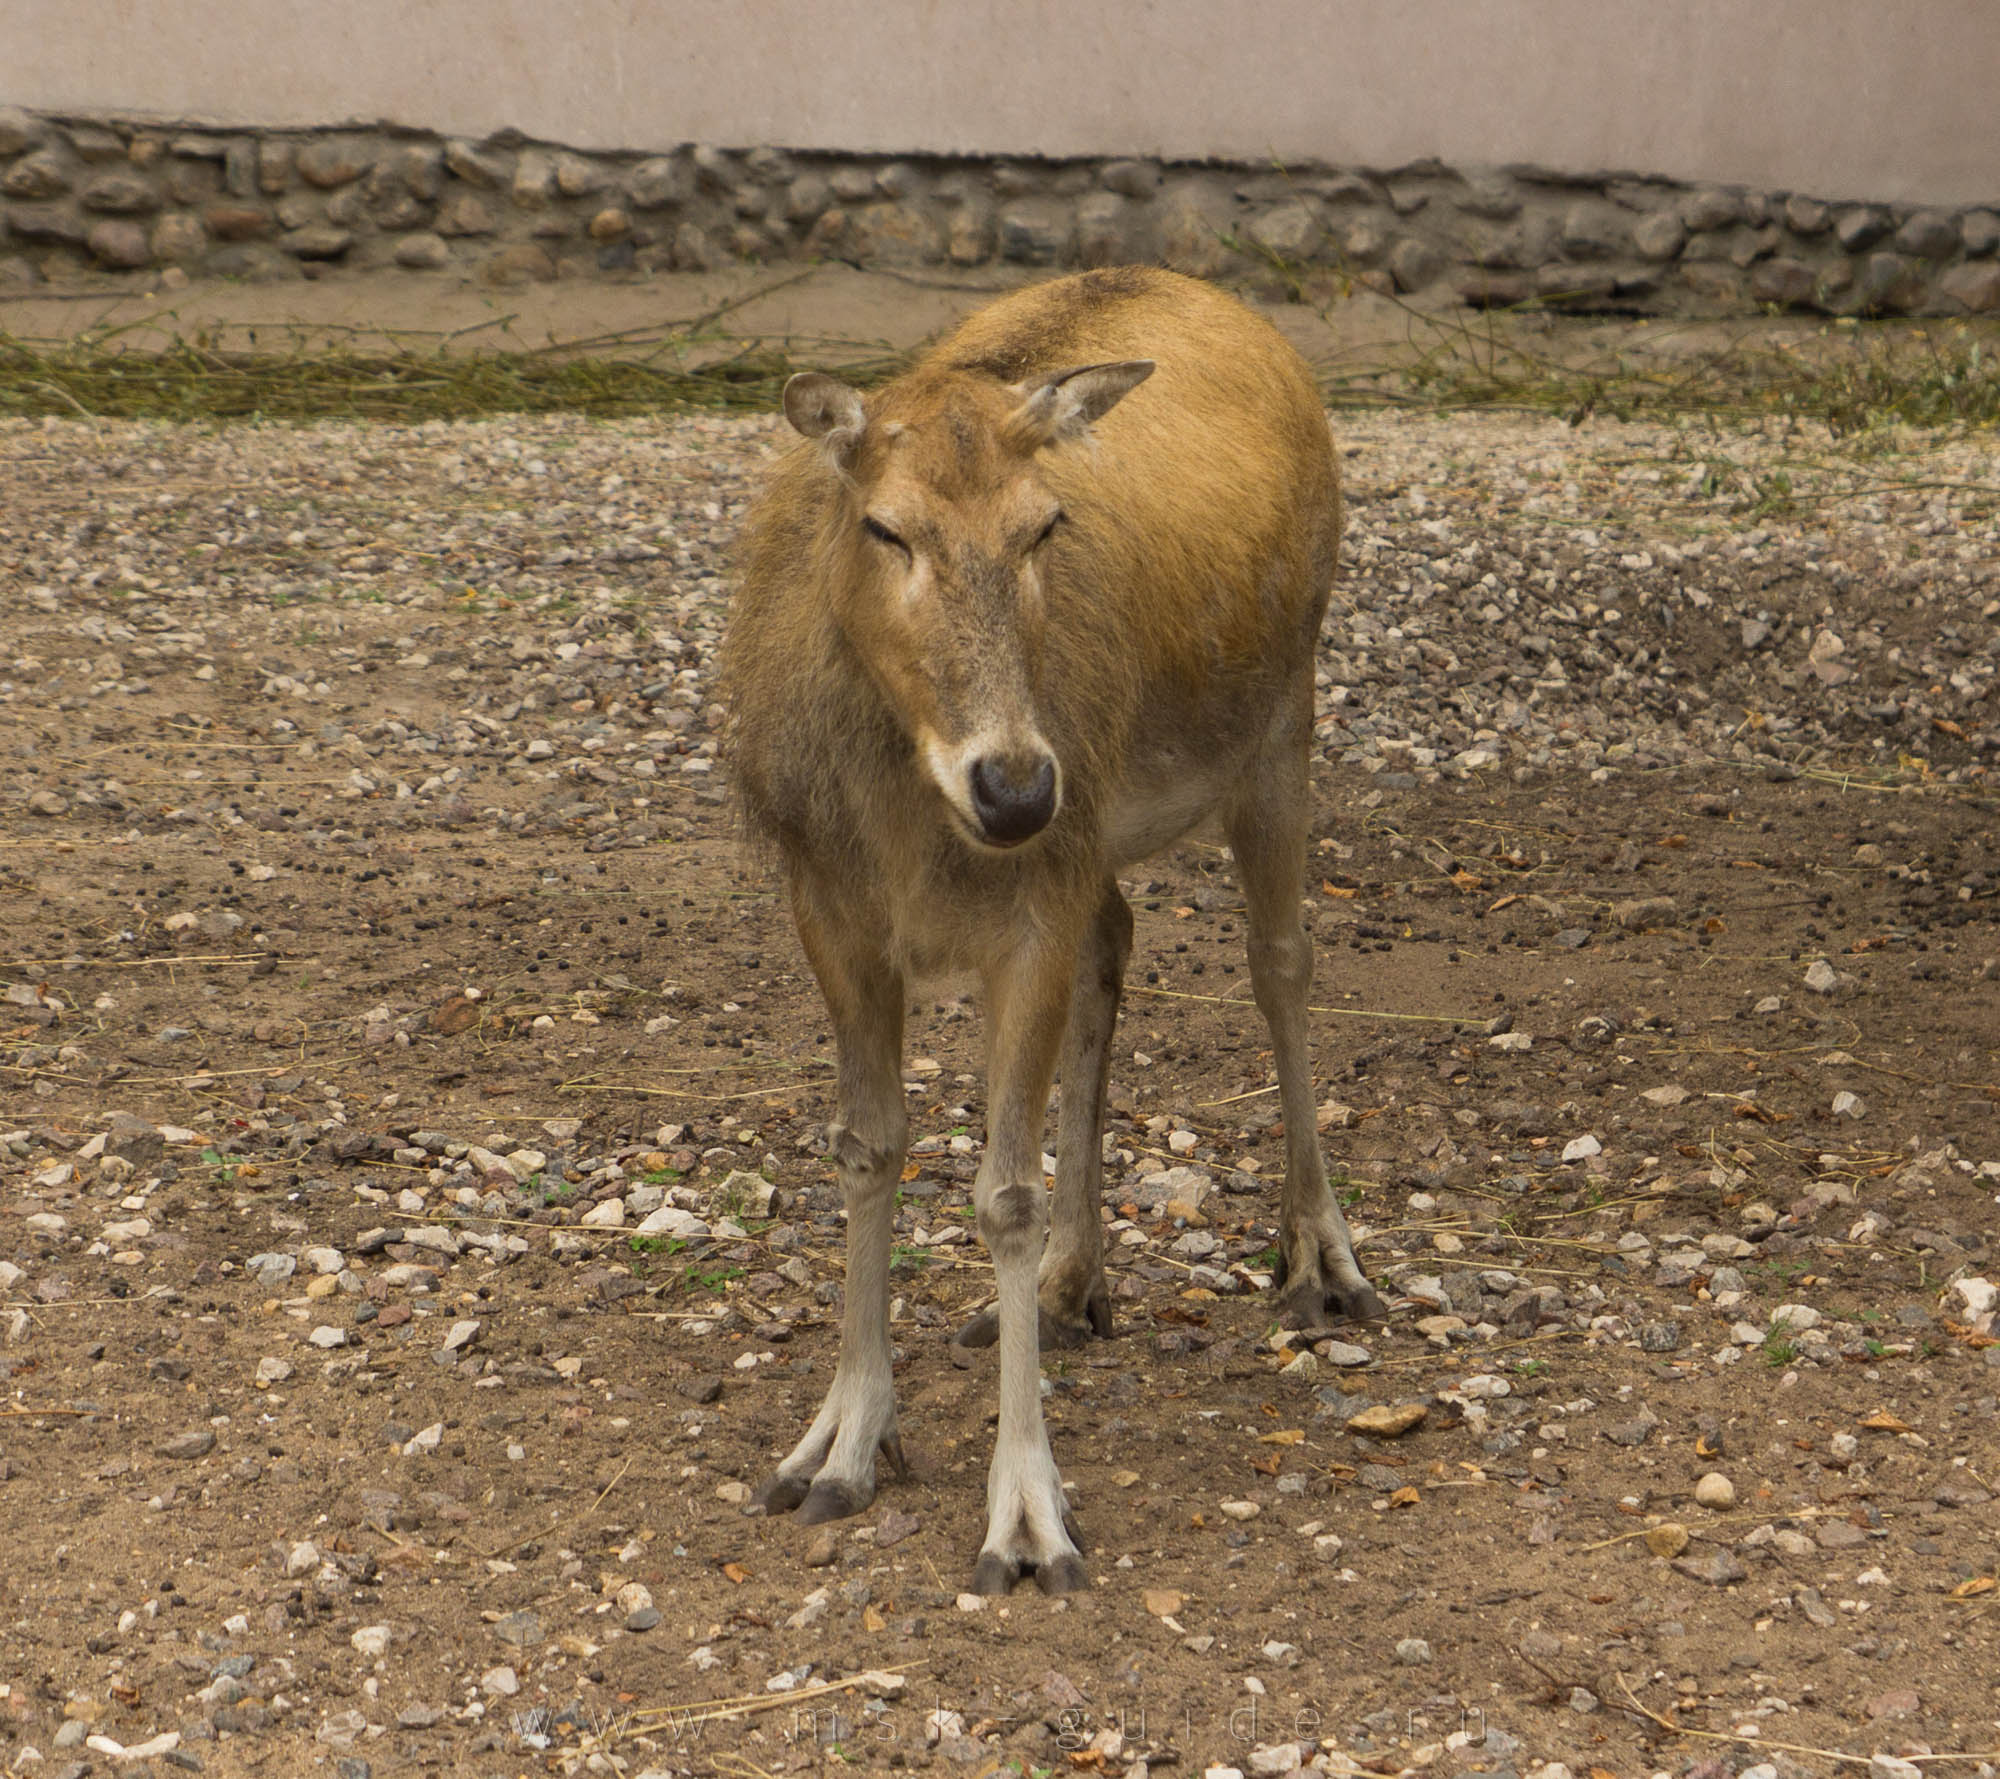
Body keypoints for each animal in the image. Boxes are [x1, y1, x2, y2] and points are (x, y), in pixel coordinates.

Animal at [722, 266, 1383, 1596]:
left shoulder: (1029, 902)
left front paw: (1026, 1520)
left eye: (1041, 527)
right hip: (1109, 838)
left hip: (1282, 712)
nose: (1017, 787)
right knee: (1115, 945)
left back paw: (1320, 1259)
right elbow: (866, 1148)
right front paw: (838, 1445)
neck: (906, 816)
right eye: (885, 528)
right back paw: (1082, 1285)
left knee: (1281, 962)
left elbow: (1000, 1197)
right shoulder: (828, 904)